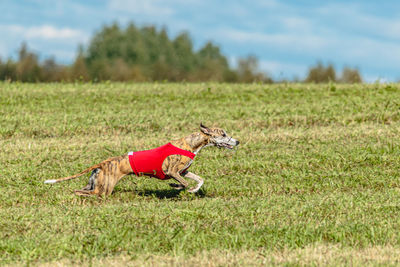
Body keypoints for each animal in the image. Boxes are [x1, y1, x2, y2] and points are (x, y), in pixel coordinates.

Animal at [44, 124, 238, 198]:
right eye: (223, 134)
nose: (237, 142)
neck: (192, 143)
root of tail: (103, 163)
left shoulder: (184, 171)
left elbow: (199, 179)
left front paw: (194, 189)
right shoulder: (172, 171)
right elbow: (183, 183)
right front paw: (177, 187)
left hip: (94, 183)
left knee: (80, 190)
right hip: (104, 188)